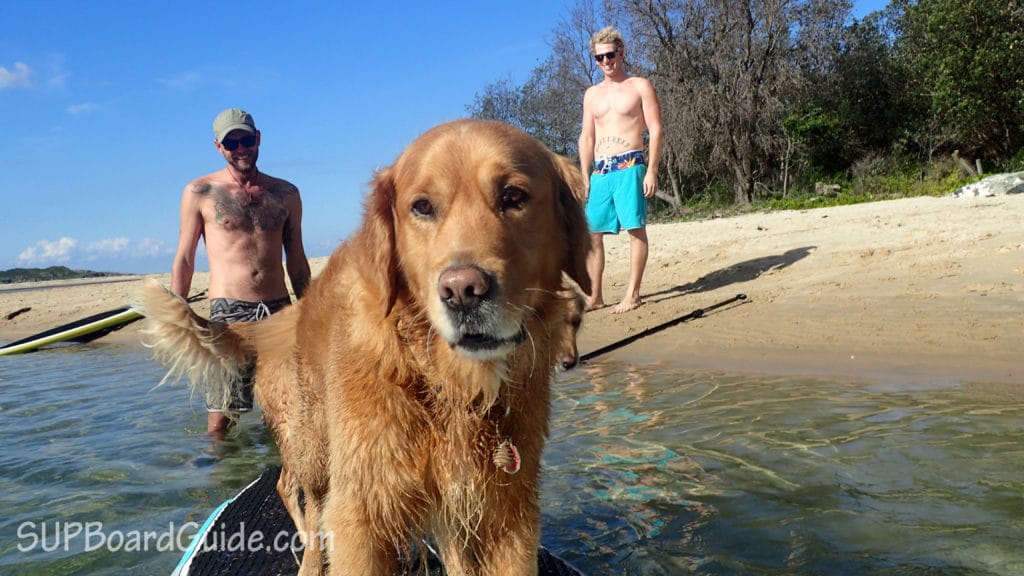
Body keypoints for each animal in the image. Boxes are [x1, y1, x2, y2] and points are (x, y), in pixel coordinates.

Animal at [144, 118, 593, 569]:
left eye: (514, 196)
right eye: (422, 206)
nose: (463, 291)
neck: (443, 380)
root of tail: (284, 317)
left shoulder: (506, 512)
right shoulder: (360, 512)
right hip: (314, 447)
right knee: (299, 495)